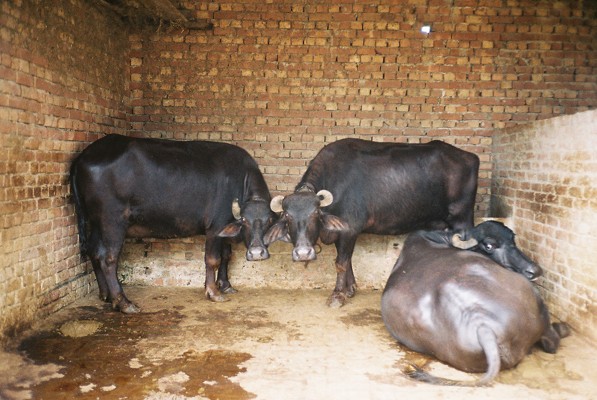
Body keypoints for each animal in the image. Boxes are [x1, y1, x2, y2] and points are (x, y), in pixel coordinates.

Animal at [70, 134, 274, 312]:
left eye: (269, 221)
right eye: (244, 221)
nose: (257, 254)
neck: (240, 182)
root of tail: (84, 156)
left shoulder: (225, 229)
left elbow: (226, 256)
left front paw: (225, 285)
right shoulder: (215, 228)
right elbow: (213, 260)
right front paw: (213, 292)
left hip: (97, 223)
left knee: (94, 251)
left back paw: (105, 294)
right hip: (112, 221)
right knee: (108, 258)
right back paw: (123, 302)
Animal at [266, 138, 480, 306]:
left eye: (315, 213)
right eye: (287, 216)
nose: (303, 253)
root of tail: (470, 157)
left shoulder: (349, 230)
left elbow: (341, 263)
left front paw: (337, 295)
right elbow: (347, 260)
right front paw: (350, 289)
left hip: (462, 222)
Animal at [382, 220, 568, 386]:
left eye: (512, 239)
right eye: (489, 246)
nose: (534, 270)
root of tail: (483, 324)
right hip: (538, 305)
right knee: (551, 341)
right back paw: (563, 328)